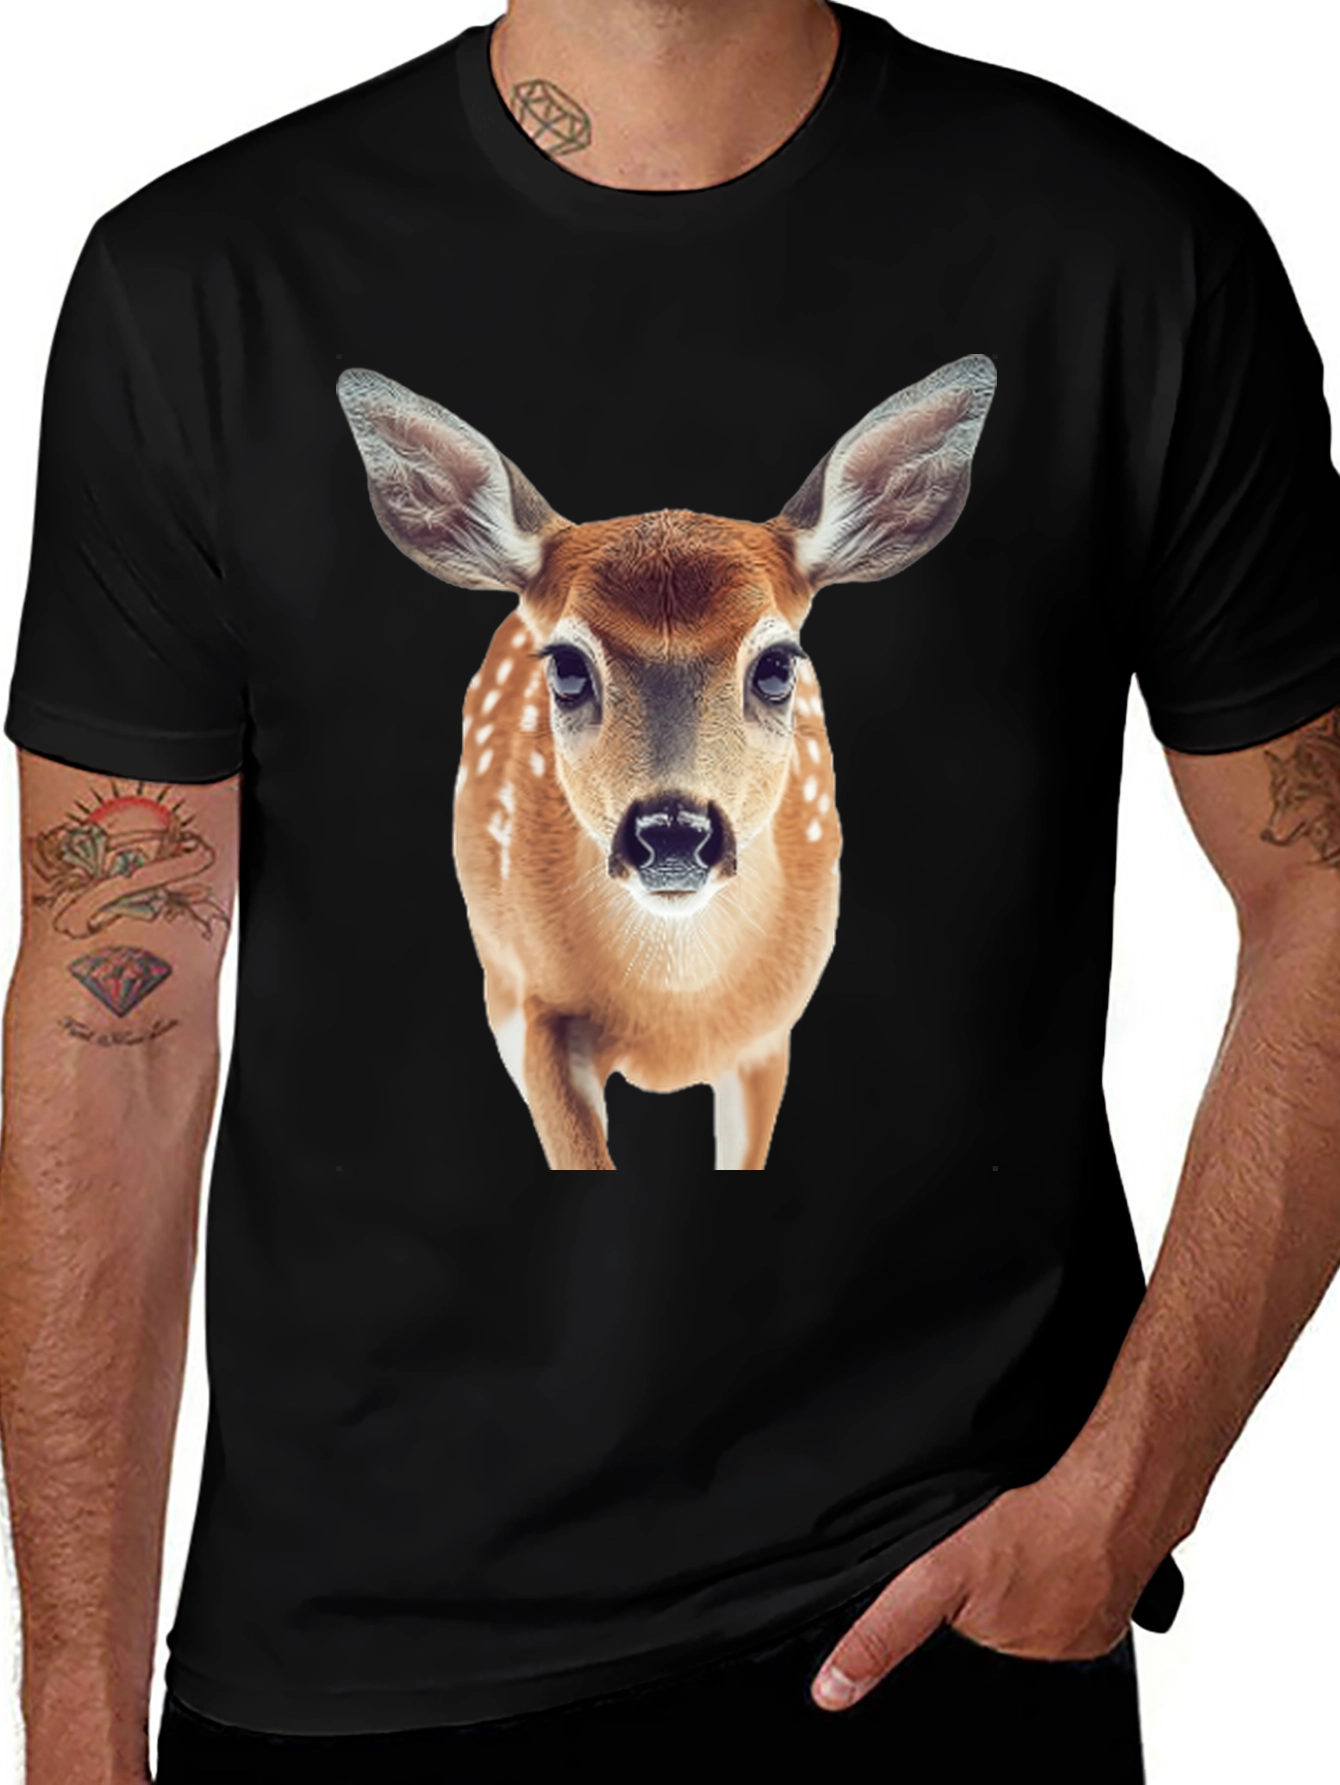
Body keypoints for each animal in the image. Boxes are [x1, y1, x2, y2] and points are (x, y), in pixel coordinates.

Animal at [339, 355, 995, 1169]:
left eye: (778, 664)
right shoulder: (533, 1008)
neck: (677, 1006)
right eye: (566, 666)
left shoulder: (768, 1036)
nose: (674, 833)